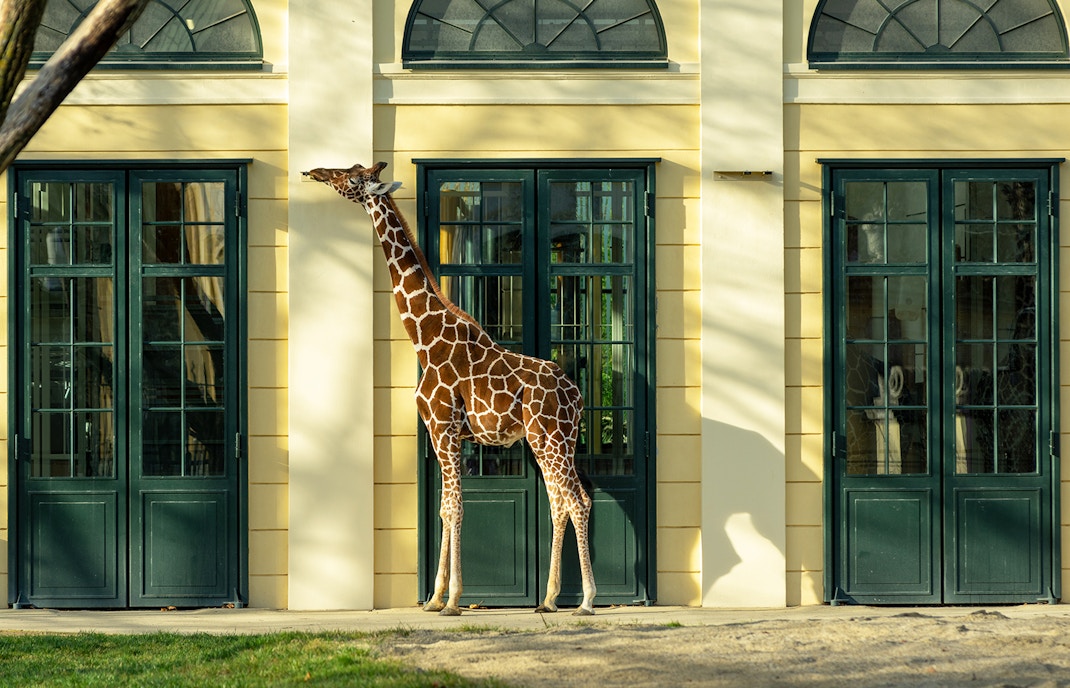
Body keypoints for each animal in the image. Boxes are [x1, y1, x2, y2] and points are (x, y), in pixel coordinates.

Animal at [303, 161, 597, 616]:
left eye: (351, 178)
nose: (315, 172)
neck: (424, 336)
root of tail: (577, 396)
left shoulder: (444, 428)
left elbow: (456, 508)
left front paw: (454, 599)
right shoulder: (438, 431)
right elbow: (443, 509)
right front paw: (434, 598)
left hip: (550, 437)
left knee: (577, 501)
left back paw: (585, 601)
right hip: (552, 440)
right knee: (561, 503)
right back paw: (548, 599)